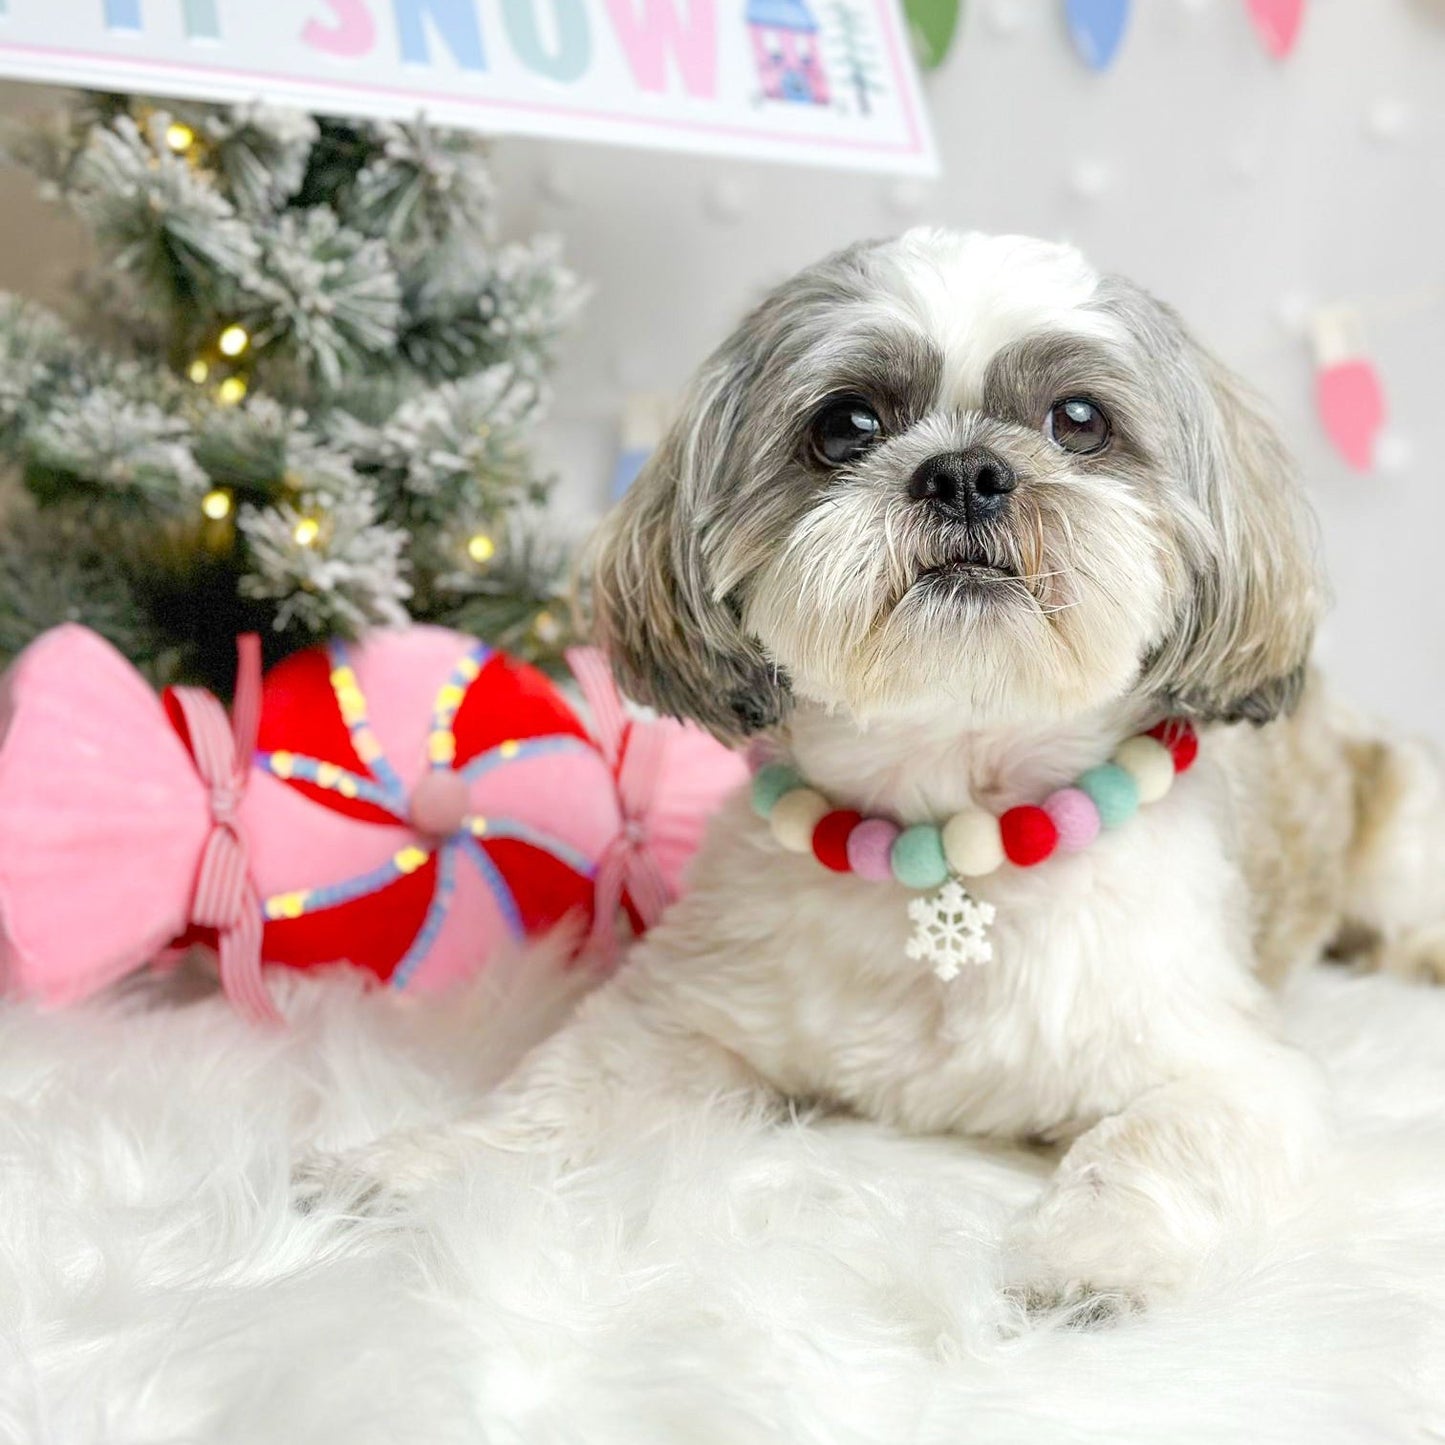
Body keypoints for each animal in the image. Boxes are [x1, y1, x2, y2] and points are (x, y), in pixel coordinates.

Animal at [319, 231, 1445, 1317]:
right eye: (846, 423)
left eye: (1078, 419)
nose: (964, 471)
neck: (949, 841)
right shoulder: (682, 1017)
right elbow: (562, 1088)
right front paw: (427, 1158)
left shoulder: (1228, 1070)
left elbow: (1146, 1144)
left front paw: (1087, 1255)